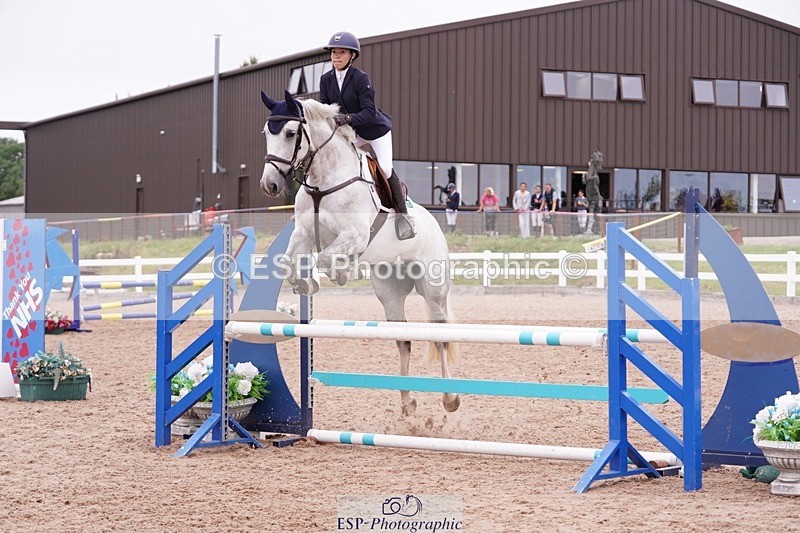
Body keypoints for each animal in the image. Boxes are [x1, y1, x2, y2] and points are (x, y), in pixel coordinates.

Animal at [259, 90, 459, 415]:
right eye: (267, 133)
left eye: (290, 133)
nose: (270, 185)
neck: (323, 182)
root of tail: (436, 227)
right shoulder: (303, 233)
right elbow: (288, 262)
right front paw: (305, 283)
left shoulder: (354, 235)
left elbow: (325, 258)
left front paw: (336, 274)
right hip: (390, 292)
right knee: (403, 340)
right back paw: (407, 400)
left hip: (433, 289)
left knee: (440, 337)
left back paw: (450, 398)